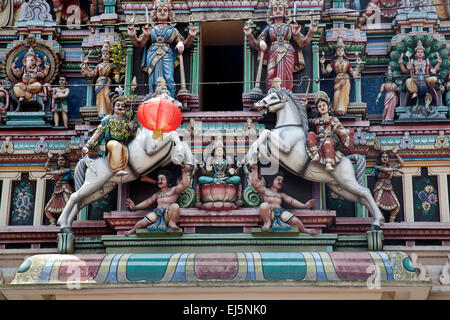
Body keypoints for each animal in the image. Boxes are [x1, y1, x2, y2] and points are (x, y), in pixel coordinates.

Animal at [248, 87, 384, 228]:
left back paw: (377, 221)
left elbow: (266, 132)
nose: (257, 104)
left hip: (347, 179)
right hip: (339, 187)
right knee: (360, 198)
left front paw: (250, 159)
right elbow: (262, 145)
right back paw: (376, 220)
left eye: (274, 97)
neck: (288, 126)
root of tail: (348, 158)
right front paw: (249, 162)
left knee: (365, 192)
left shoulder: (285, 147)